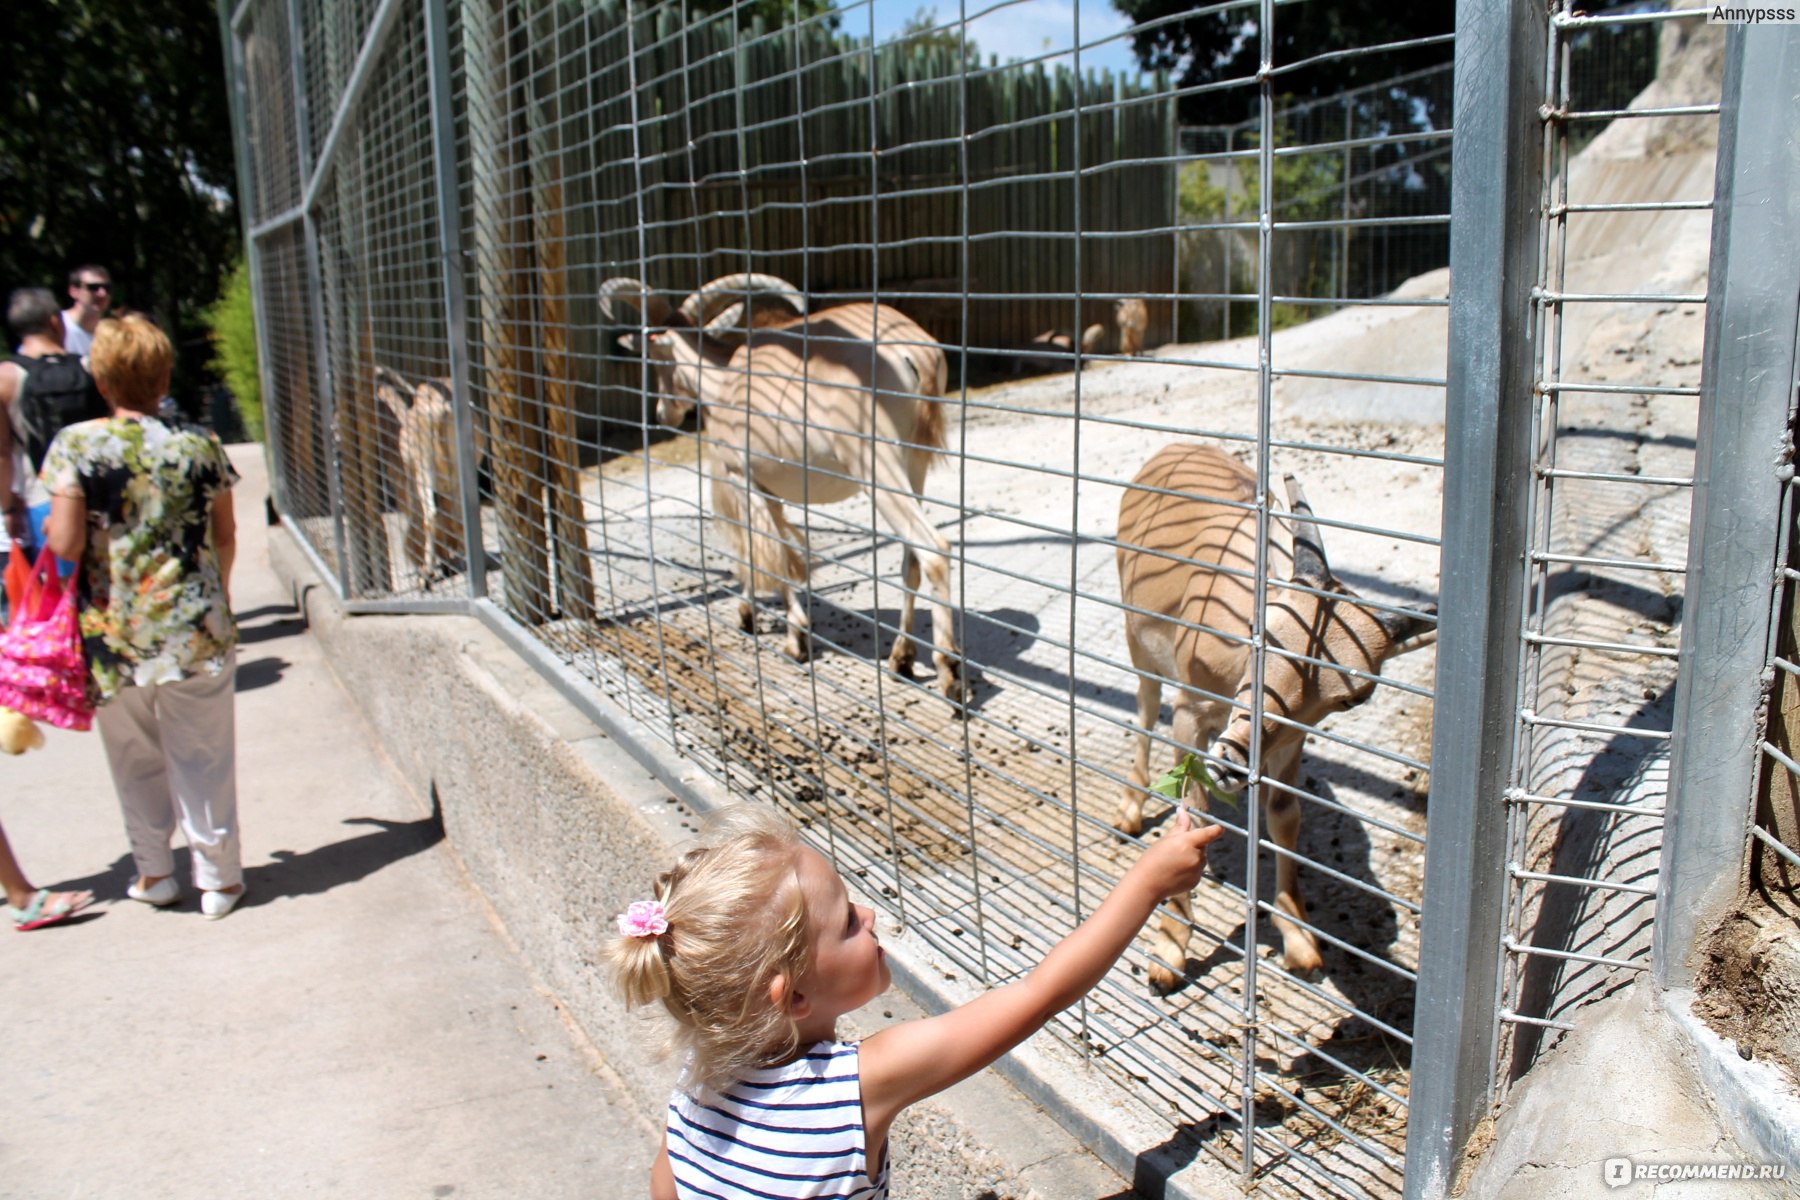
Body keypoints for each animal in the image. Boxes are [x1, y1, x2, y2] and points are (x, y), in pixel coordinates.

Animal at [601, 271, 972, 705]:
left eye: (654, 358)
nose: (663, 413)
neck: (723, 381)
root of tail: (915, 354)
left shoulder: (742, 478)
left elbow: (768, 553)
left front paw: (792, 637)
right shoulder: (769, 487)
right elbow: (773, 549)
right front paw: (753, 614)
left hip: (874, 462)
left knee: (933, 548)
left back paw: (949, 672)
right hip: (914, 464)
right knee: (910, 559)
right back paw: (901, 657)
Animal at [1108, 440, 1432, 985]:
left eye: (1351, 698)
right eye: (1262, 630)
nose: (1233, 761)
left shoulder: (1289, 739)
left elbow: (1284, 815)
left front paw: (1301, 942)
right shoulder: (1192, 710)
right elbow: (1194, 809)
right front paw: (1169, 952)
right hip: (1138, 637)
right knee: (1146, 705)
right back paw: (1130, 811)